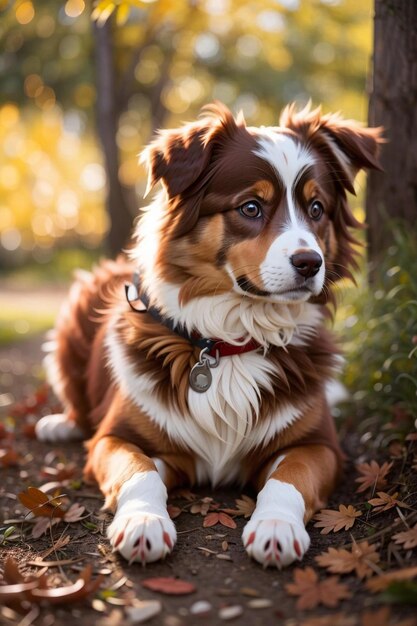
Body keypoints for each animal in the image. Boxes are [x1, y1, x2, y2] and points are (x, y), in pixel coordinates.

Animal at [35, 102, 380, 564]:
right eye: (250, 208)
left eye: (316, 209)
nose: (310, 263)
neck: (229, 342)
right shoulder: (114, 437)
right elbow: (140, 472)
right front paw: (143, 521)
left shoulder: (321, 446)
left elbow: (290, 477)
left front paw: (276, 525)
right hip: (74, 316)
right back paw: (60, 423)